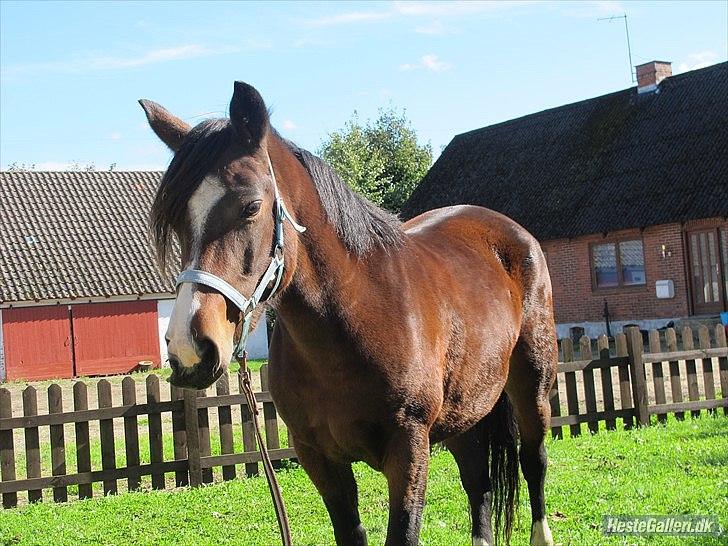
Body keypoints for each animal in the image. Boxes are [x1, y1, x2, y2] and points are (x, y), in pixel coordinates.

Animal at [138, 82, 556, 544]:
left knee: (533, 462)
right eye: (177, 220)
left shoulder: (409, 450)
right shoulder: (319, 458)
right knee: (478, 483)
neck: (353, 324)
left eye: (250, 207)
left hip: (532, 385)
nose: (189, 347)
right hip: (466, 410)